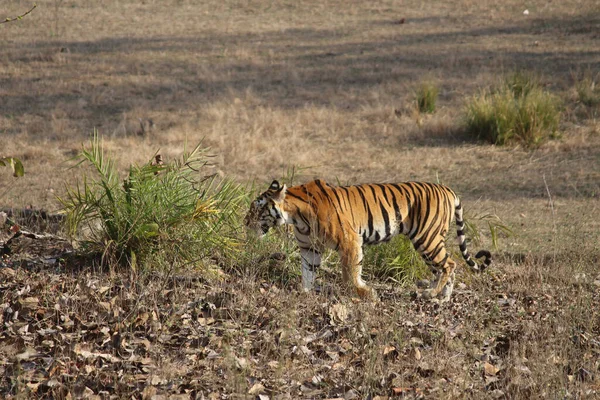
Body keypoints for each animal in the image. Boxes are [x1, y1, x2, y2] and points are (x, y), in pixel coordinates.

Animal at [245, 180, 492, 302]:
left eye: (257, 209)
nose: (245, 222)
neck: (296, 217)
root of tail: (449, 189)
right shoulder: (309, 248)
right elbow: (307, 271)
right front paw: (304, 293)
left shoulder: (350, 241)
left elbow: (350, 273)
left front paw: (364, 292)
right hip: (428, 241)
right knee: (443, 268)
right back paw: (441, 298)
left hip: (427, 238)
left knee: (449, 264)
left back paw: (431, 294)